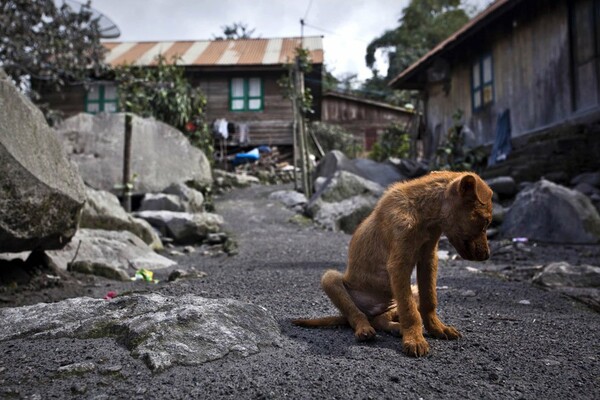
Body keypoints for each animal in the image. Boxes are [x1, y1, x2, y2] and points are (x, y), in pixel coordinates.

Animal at [292, 171, 494, 356]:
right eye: (485, 222)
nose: (487, 256)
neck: (422, 213)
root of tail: (372, 312)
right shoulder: (398, 265)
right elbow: (410, 311)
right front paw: (415, 339)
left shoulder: (428, 259)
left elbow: (429, 300)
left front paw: (437, 328)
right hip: (330, 279)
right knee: (355, 314)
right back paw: (365, 329)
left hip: (409, 292)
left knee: (381, 319)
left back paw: (396, 327)